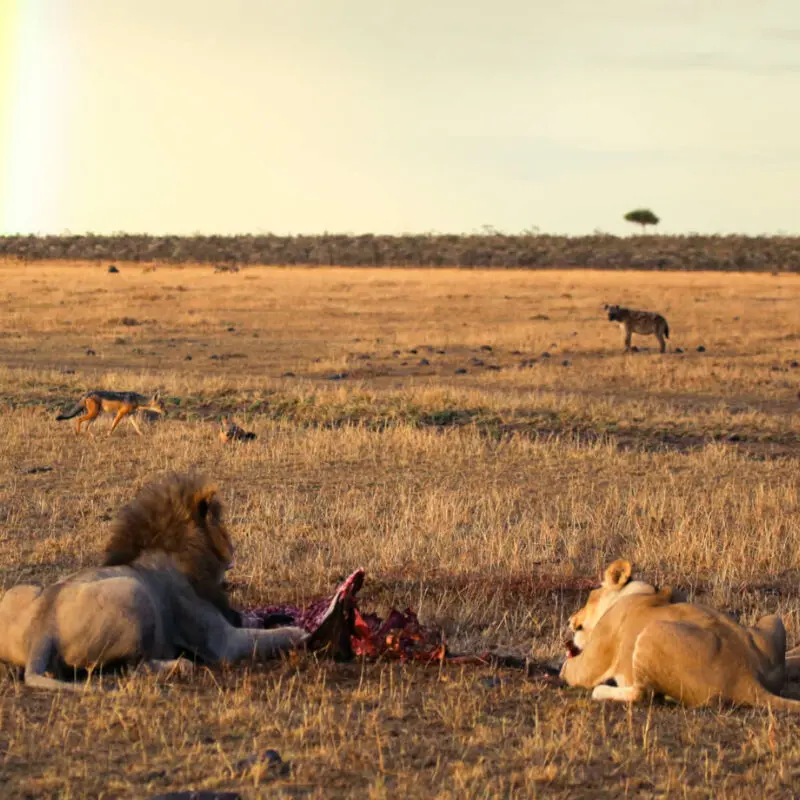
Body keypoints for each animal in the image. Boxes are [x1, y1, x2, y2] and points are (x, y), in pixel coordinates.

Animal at [0, 474, 356, 692]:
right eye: (222, 525)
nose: (233, 550)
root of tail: (42, 631)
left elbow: (255, 621)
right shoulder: (221, 643)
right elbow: (264, 637)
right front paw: (300, 631)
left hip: (17, 592)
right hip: (135, 592)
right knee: (132, 667)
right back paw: (179, 666)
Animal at [560, 559, 800, 710]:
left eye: (590, 595)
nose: (570, 620)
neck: (641, 592)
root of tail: (748, 677)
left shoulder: (593, 657)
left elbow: (570, 671)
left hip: (652, 632)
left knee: (642, 695)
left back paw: (603, 691)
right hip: (772, 620)